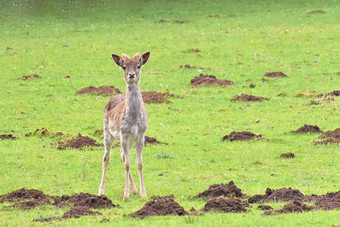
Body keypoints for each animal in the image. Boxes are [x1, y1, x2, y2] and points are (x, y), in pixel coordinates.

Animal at [99, 51, 151, 200]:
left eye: (138, 66)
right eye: (124, 67)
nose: (132, 75)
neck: (133, 120)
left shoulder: (141, 136)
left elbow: (139, 163)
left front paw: (143, 193)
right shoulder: (124, 134)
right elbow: (128, 164)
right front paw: (125, 195)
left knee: (122, 154)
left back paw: (134, 189)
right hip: (107, 133)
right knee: (106, 158)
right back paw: (101, 191)